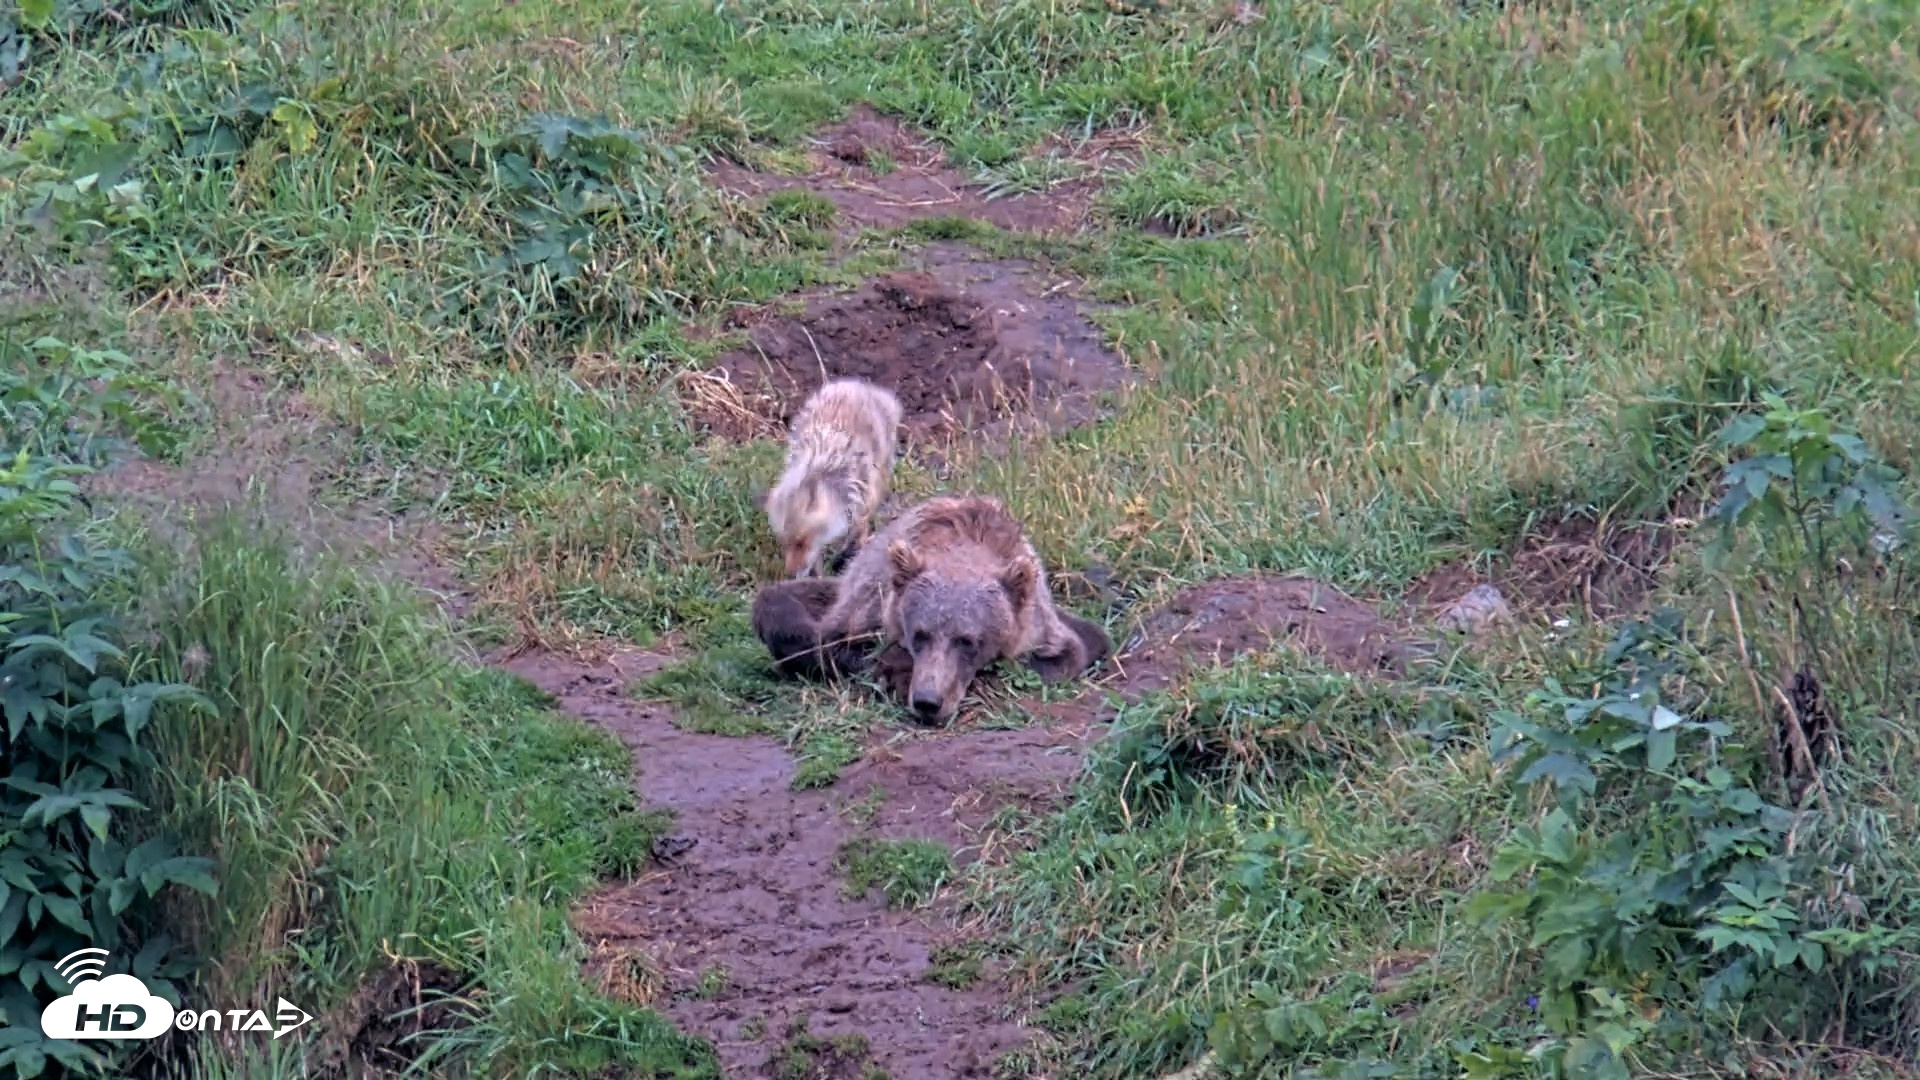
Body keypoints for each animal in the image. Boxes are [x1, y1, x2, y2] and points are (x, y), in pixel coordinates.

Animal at [751, 495, 1112, 725]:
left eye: (968, 640)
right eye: (920, 634)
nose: (928, 701)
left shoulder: (1038, 625)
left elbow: (1067, 652)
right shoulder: (871, 604)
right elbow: (839, 642)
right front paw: (895, 673)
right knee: (777, 607)